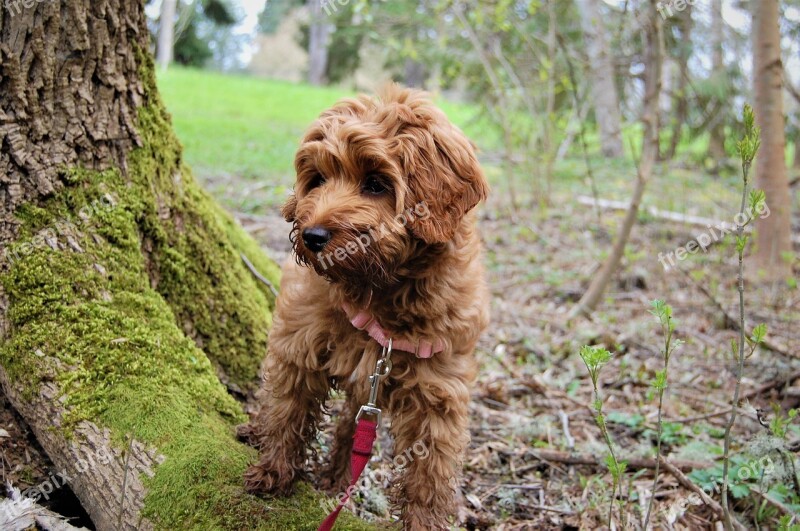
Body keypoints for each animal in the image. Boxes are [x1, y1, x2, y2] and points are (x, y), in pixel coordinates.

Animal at [239, 85, 488, 528]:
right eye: (317, 179)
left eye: (376, 183)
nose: (312, 236)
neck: (380, 290)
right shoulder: (298, 342)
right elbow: (287, 408)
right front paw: (273, 470)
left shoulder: (441, 388)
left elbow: (431, 470)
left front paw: (424, 522)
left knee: (347, 425)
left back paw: (338, 477)